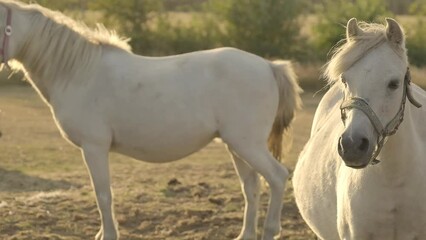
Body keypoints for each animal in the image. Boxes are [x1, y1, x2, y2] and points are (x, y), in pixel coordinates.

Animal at [0, 0, 302, 239]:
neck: (78, 72)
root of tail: (269, 66)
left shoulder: (94, 148)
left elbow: (103, 195)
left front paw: (108, 235)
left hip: (247, 144)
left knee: (277, 177)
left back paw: (270, 230)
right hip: (236, 146)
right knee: (251, 187)